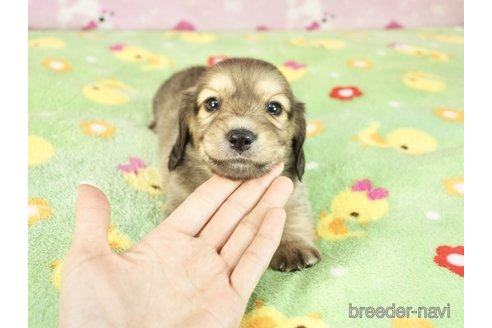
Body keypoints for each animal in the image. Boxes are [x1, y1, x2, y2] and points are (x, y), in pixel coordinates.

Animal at [151, 57, 320, 272]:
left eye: (274, 108)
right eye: (212, 103)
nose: (240, 138)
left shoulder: (292, 191)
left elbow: (291, 213)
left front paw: (293, 245)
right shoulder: (179, 196)